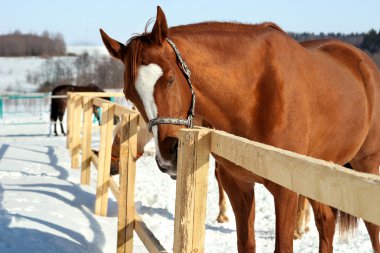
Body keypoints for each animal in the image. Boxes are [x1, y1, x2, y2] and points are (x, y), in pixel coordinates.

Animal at [101, 6, 380, 253]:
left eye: (169, 79)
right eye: (130, 94)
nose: (169, 156)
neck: (256, 93)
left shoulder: (286, 191)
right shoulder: (237, 183)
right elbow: (245, 243)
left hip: (365, 165)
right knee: (326, 223)